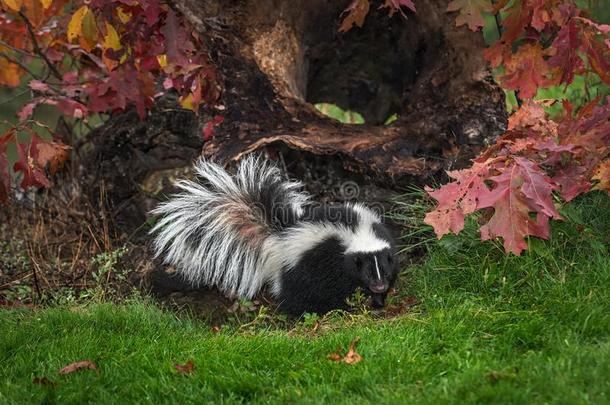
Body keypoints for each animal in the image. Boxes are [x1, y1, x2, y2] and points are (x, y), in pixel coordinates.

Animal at [150, 153, 396, 314]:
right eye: (367, 271)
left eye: (383, 270)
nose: (380, 286)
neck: (358, 233)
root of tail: (280, 237)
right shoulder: (333, 261)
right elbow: (340, 285)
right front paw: (350, 306)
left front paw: (377, 302)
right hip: (297, 268)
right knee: (294, 293)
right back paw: (303, 313)